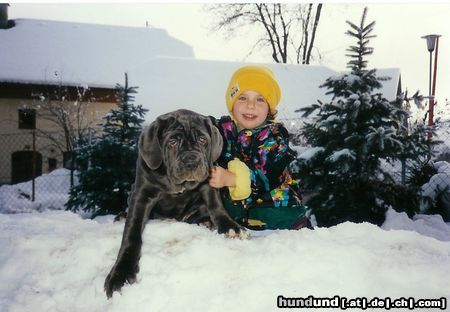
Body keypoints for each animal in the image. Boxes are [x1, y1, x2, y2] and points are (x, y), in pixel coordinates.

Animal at [105, 109, 246, 298]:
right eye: (172, 142)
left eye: (202, 139)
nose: (191, 160)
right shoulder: (141, 194)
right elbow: (132, 232)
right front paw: (121, 274)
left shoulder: (209, 181)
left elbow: (216, 205)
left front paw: (231, 227)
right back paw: (122, 215)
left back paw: (205, 222)